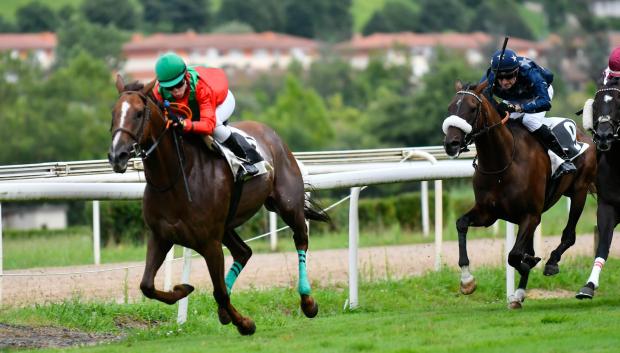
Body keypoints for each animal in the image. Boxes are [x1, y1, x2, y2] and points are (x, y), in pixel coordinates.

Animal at [108, 75, 330, 334]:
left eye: (138, 113)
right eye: (113, 113)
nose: (117, 155)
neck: (176, 177)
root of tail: (271, 133)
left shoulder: (210, 242)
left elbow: (220, 293)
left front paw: (245, 324)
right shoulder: (160, 236)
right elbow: (147, 286)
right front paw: (183, 288)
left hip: (287, 204)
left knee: (300, 239)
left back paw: (307, 301)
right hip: (226, 225)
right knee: (243, 252)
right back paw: (224, 312)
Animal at [440, 80, 596, 308]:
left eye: (472, 108)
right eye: (450, 107)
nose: (451, 144)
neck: (502, 163)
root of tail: (584, 135)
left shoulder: (530, 215)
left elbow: (514, 256)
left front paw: (529, 264)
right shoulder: (488, 213)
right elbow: (461, 224)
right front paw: (467, 280)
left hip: (579, 191)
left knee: (569, 234)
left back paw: (551, 262)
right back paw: (520, 291)